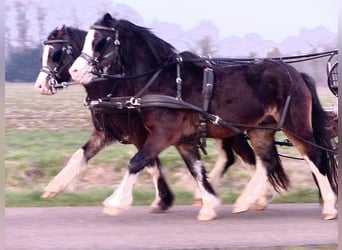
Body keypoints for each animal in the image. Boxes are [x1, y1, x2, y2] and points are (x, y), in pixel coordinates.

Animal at [69, 14, 336, 221]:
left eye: (100, 41)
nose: (74, 71)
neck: (162, 80)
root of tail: (296, 73)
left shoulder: (163, 134)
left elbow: (137, 161)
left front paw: (115, 203)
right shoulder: (183, 139)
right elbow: (196, 169)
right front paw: (209, 205)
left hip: (295, 126)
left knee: (314, 157)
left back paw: (330, 206)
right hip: (260, 129)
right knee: (268, 162)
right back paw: (245, 200)